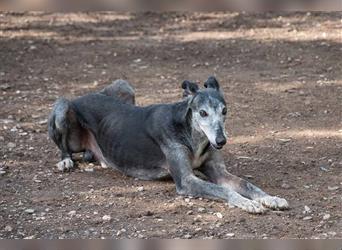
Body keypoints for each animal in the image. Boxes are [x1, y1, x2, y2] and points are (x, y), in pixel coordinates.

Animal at [48, 76, 288, 213]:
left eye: (225, 111)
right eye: (203, 113)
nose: (220, 141)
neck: (191, 133)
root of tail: (82, 95)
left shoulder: (218, 171)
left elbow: (247, 185)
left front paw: (271, 198)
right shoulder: (186, 181)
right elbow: (222, 189)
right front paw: (249, 203)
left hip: (125, 87)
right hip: (63, 107)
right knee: (63, 146)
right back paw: (66, 161)